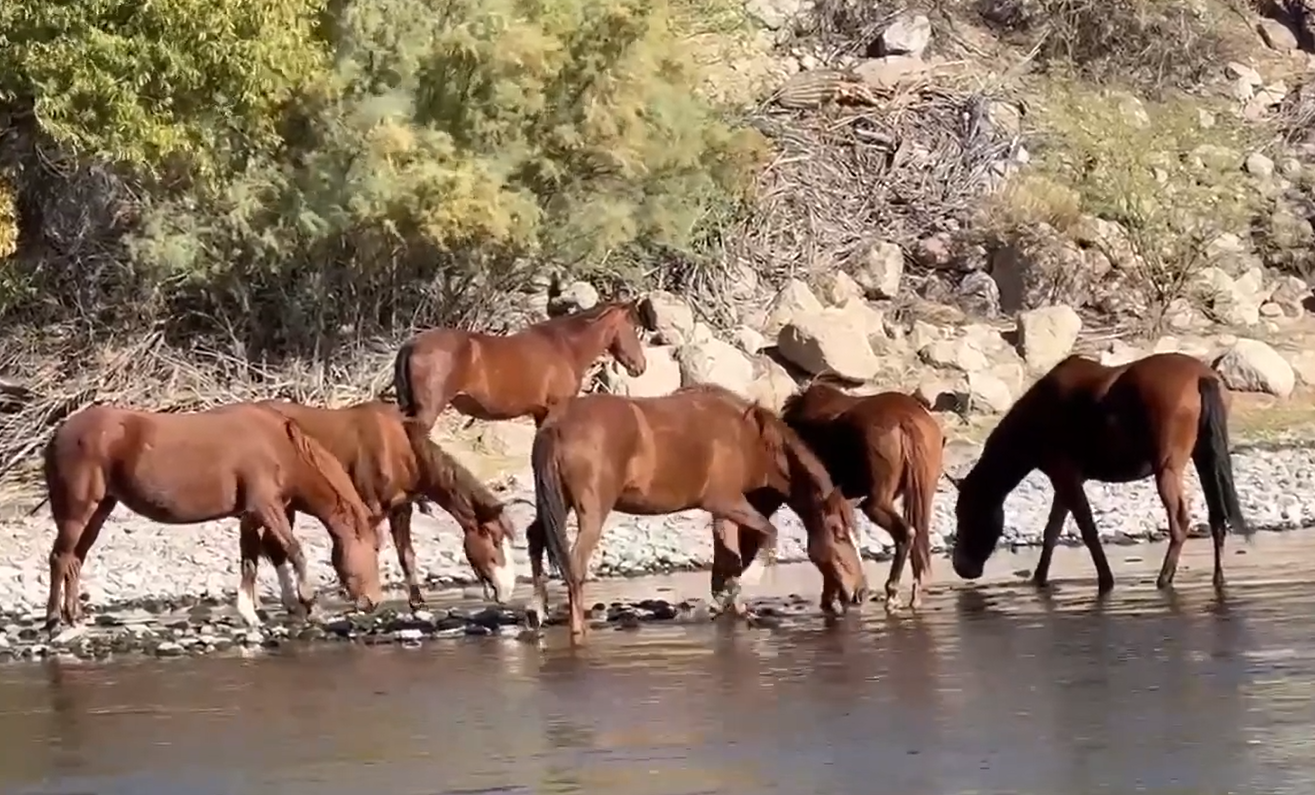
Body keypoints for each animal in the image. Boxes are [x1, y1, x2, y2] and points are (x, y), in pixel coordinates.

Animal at [39, 402, 385, 631]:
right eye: (375, 549)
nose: (373, 601)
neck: (279, 447)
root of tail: (59, 434)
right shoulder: (266, 508)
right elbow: (294, 551)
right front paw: (309, 603)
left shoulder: (251, 515)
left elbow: (250, 561)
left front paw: (249, 612)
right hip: (77, 512)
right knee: (60, 558)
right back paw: (54, 620)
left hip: (99, 511)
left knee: (75, 559)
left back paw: (73, 616)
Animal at [242, 399, 517, 614]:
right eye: (494, 539)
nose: (507, 590)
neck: (400, 449)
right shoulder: (369, 509)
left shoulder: (400, 508)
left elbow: (406, 555)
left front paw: (418, 602)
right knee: (273, 546)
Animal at [527, 383, 868, 641]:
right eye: (838, 533)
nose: (860, 592)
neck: (748, 438)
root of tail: (556, 425)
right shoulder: (725, 502)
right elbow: (766, 535)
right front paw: (743, 587)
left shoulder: (725, 512)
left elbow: (730, 559)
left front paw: (733, 604)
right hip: (592, 511)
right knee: (575, 563)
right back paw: (577, 629)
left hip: (556, 503)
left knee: (536, 538)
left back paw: (537, 610)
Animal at [778, 374, 945, 611]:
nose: (856, 593)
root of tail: (908, 422)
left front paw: (831, 598)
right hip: (923, 492)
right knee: (919, 537)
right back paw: (914, 595)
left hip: (877, 501)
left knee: (906, 532)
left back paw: (892, 593)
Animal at [948, 352, 1251, 594]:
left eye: (966, 512)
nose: (962, 567)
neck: (1034, 420)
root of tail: (1203, 377)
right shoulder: (1066, 480)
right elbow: (1052, 530)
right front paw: (1038, 578)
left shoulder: (1065, 476)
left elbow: (1085, 529)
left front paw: (1105, 580)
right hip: (1205, 457)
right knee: (1216, 516)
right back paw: (1218, 578)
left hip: (1167, 468)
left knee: (1180, 522)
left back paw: (1164, 579)